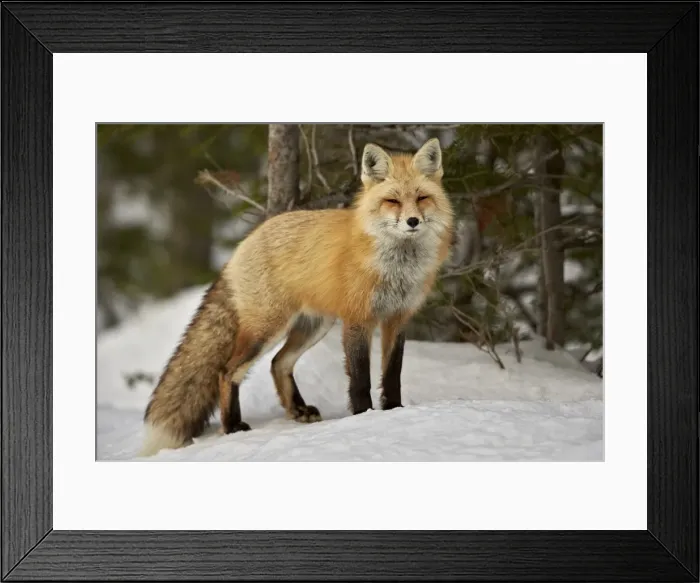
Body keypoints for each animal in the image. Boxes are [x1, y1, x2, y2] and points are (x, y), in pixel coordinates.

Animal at [139, 137, 455, 457]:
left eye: (422, 198)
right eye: (392, 201)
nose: (413, 221)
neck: (396, 267)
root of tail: (244, 242)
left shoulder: (397, 318)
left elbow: (392, 374)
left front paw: (394, 410)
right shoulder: (358, 319)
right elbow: (359, 379)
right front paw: (363, 416)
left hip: (314, 326)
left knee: (278, 363)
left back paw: (297, 410)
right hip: (266, 330)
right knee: (227, 372)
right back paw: (231, 426)